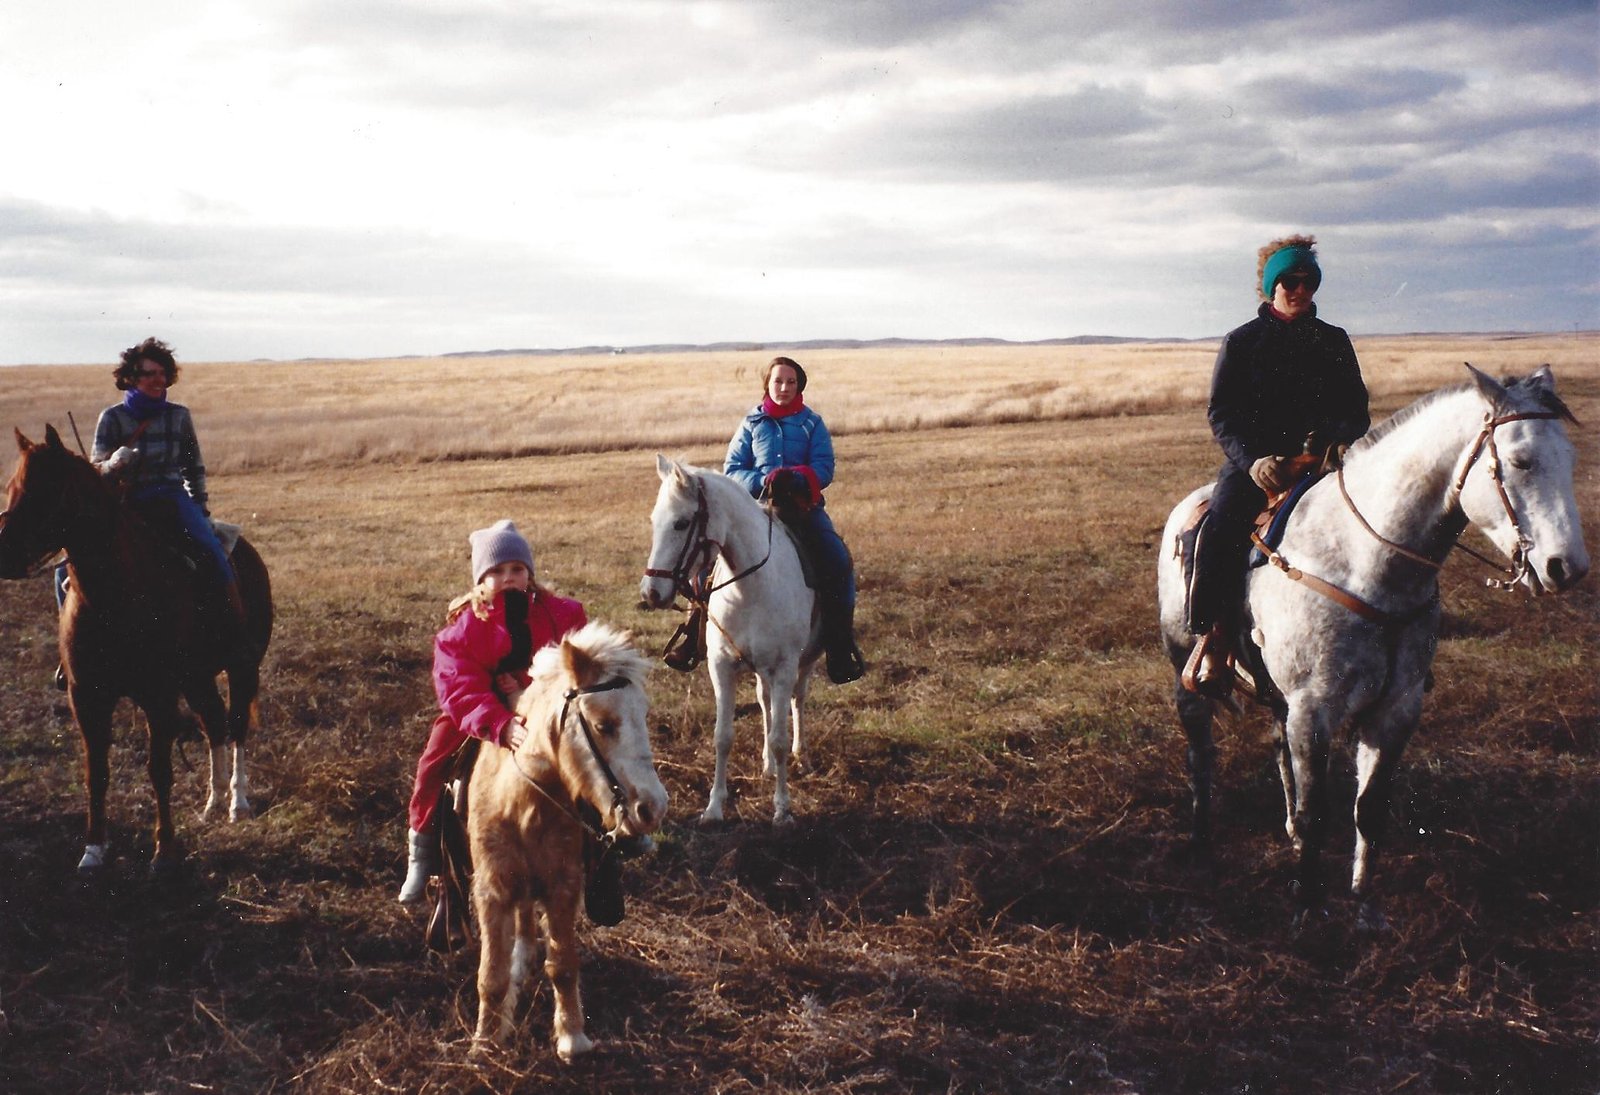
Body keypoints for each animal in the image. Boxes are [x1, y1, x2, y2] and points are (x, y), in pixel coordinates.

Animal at [0, 425, 273, 870]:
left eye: (49, 489)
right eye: (11, 488)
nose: (5, 556)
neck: (115, 595)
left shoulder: (159, 696)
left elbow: (159, 769)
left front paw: (164, 851)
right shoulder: (86, 697)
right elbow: (96, 772)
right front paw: (93, 849)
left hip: (242, 667)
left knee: (235, 728)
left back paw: (238, 803)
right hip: (196, 678)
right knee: (213, 722)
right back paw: (213, 802)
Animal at [467, 624, 665, 1062]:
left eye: (644, 716)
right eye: (605, 725)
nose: (653, 807)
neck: (524, 806)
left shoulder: (563, 886)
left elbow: (562, 965)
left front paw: (572, 1037)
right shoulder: (492, 890)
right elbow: (490, 975)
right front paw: (485, 1043)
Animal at [636, 451, 819, 819]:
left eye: (681, 523)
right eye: (654, 521)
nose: (651, 592)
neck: (751, 587)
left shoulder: (784, 667)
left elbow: (779, 738)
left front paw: (782, 809)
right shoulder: (721, 666)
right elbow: (723, 736)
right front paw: (714, 806)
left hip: (802, 663)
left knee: (797, 700)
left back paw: (800, 755)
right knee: (765, 702)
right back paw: (767, 765)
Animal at [1164, 365, 1587, 922]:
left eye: (1570, 458)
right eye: (1520, 460)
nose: (1567, 568)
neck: (1365, 564)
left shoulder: (1395, 710)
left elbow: (1368, 809)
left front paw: (1361, 899)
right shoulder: (1313, 709)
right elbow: (1318, 813)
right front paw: (1307, 902)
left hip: (1279, 697)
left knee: (1278, 751)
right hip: (1186, 675)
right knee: (1201, 753)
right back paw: (1199, 838)